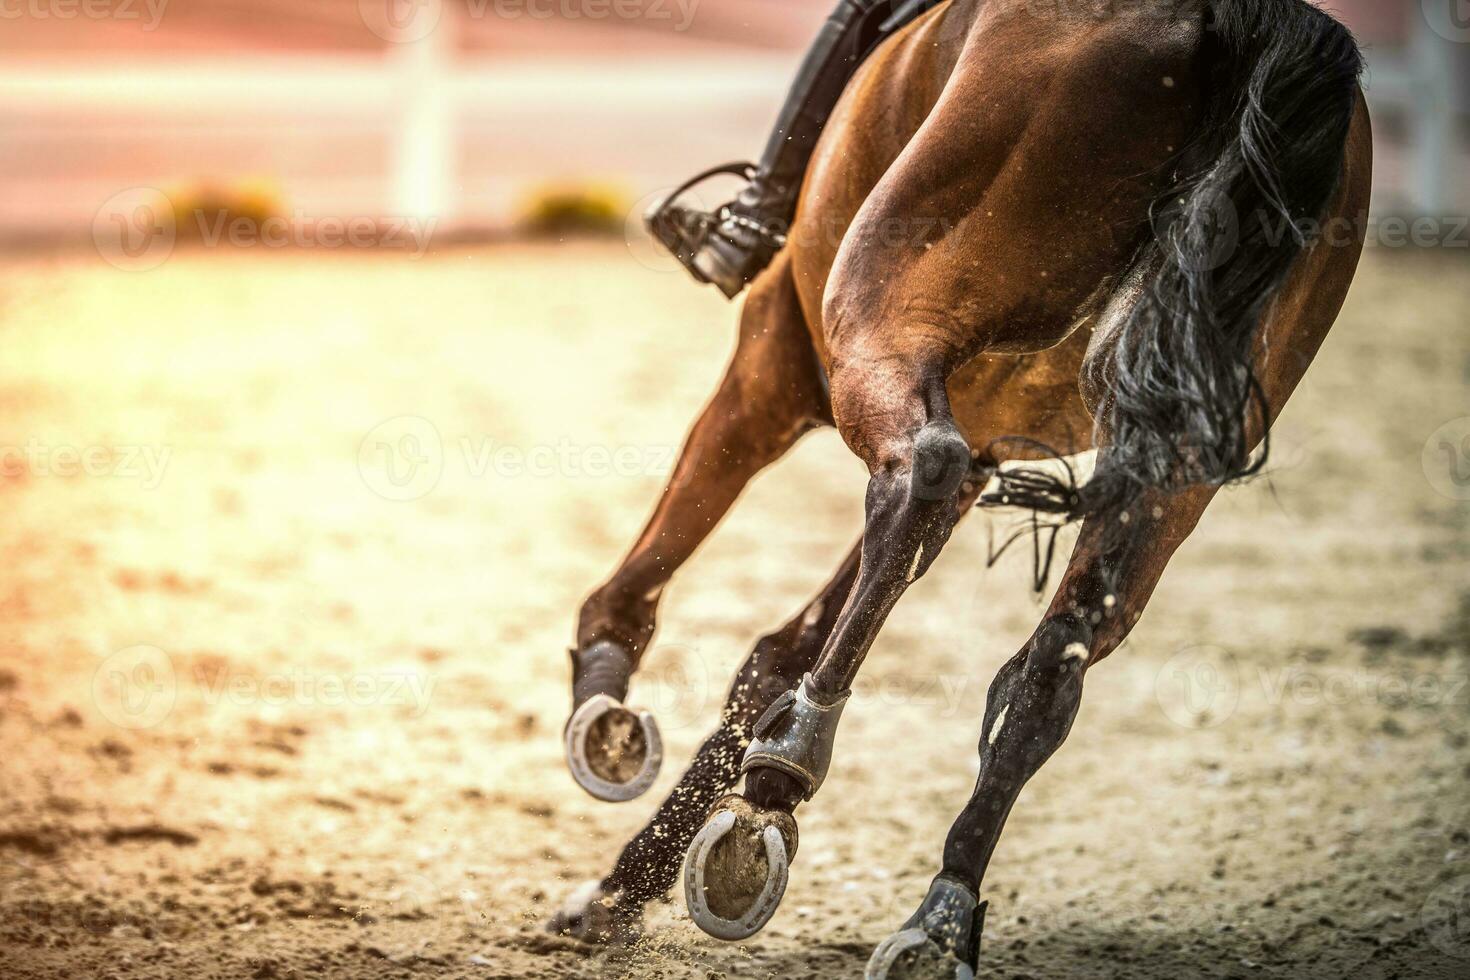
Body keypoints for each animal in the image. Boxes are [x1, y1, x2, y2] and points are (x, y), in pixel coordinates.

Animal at [549, 0, 1364, 975]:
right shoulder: (986, 445)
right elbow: (792, 643)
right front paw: (632, 881)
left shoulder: (775, 353)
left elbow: (671, 542)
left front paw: (606, 706)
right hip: (1173, 476)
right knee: (1051, 666)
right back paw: (935, 914)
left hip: (870, 324)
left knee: (919, 481)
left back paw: (783, 777)